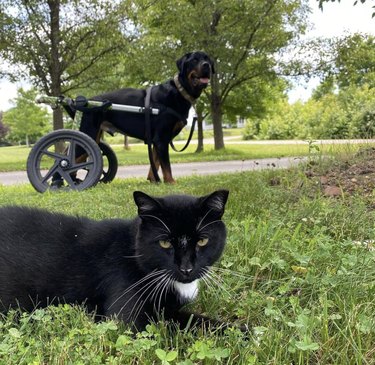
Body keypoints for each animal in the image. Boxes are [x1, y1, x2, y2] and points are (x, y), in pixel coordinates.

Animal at [0, 191, 239, 330]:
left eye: (202, 241)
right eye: (164, 243)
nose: (187, 268)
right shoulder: (128, 314)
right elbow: (188, 321)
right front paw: (240, 331)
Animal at [79, 50, 214, 182]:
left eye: (207, 59)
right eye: (194, 60)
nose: (206, 65)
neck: (180, 91)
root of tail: (88, 101)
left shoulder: (157, 140)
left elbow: (155, 163)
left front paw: (154, 181)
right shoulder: (161, 139)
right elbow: (166, 166)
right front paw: (171, 182)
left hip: (95, 136)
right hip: (89, 132)